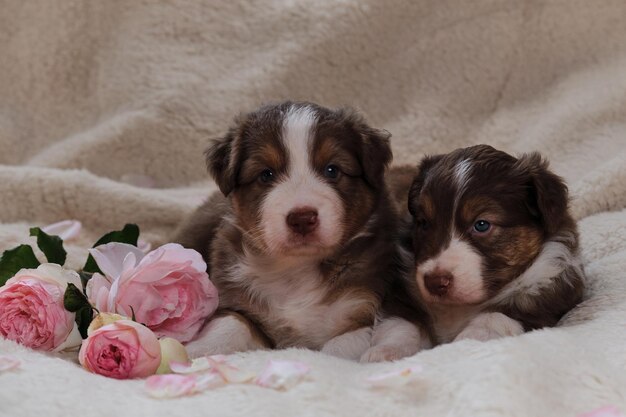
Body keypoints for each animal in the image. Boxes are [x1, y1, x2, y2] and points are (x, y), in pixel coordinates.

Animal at [176, 101, 428, 360]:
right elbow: (231, 323)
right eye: (266, 174)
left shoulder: (363, 309)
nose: (302, 218)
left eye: (332, 170)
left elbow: (337, 349)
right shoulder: (235, 299)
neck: (295, 270)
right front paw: (198, 350)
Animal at [402, 145, 584, 342]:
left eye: (482, 225)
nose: (435, 283)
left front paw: (472, 336)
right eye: (423, 223)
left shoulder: (549, 288)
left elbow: (499, 314)